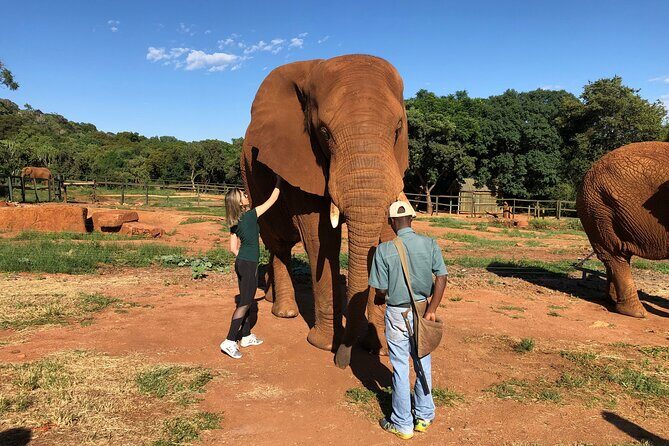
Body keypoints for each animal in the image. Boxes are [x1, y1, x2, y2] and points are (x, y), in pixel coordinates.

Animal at [241, 54, 408, 368]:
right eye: (324, 132)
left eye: (397, 130)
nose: (342, 361)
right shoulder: (300, 156)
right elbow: (321, 239)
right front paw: (325, 345)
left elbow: (385, 232)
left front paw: (378, 348)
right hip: (250, 178)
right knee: (277, 241)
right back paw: (284, 312)